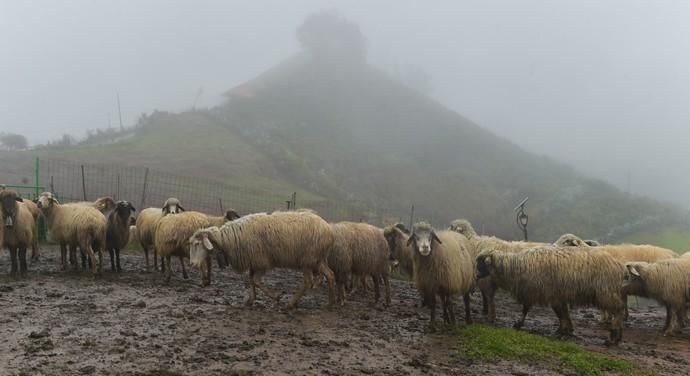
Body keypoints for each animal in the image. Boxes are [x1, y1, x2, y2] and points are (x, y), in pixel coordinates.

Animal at [188, 212, 336, 308]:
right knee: (330, 275)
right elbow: (251, 279)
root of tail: (329, 230)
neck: (228, 239)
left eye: (197, 244)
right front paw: (250, 299)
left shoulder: (261, 262)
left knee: (308, 282)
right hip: (318, 260)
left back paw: (291, 303)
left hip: (307, 259)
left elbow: (256, 281)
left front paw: (276, 296)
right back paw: (329, 303)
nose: (192, 264)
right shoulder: (253, 262)